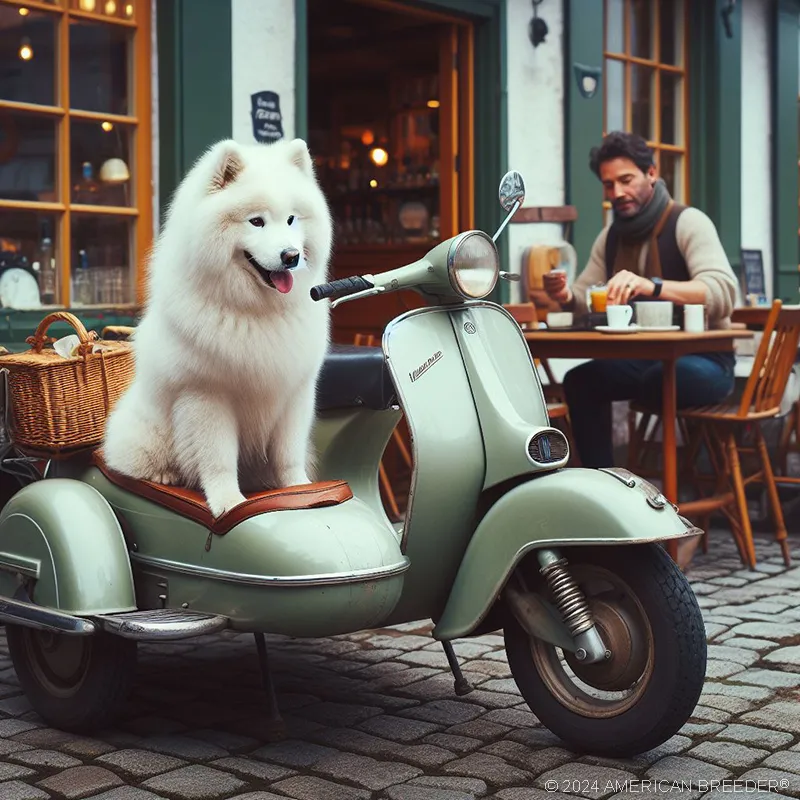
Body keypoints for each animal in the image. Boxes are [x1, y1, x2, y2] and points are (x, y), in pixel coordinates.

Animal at [101, 136, 332, 520]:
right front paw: (228, 504)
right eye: (256, 221)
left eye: (291, 220)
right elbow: (218, 459)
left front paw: (300, 490)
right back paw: (164, 474)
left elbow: (289, 455)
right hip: (148, 433)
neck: (256, 312)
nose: (291, 256)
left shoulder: (294, 393)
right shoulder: (206, 395)